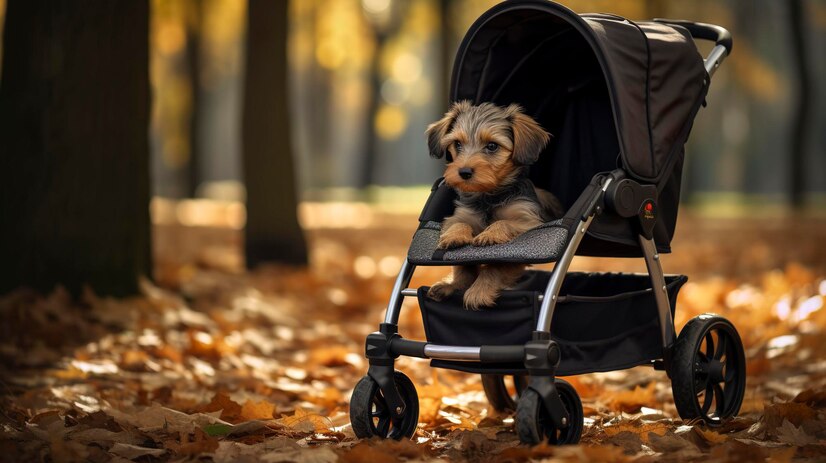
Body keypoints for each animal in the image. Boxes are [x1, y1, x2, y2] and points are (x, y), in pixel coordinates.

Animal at [424, 102, 560, 312]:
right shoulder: (459, 216)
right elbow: (462, 262)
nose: (463, 172)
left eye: (492, 146)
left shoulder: (528, 222)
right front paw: (454, 280)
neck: (489, 195)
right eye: (457, 144)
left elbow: (495, 259)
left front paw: (478, 290)